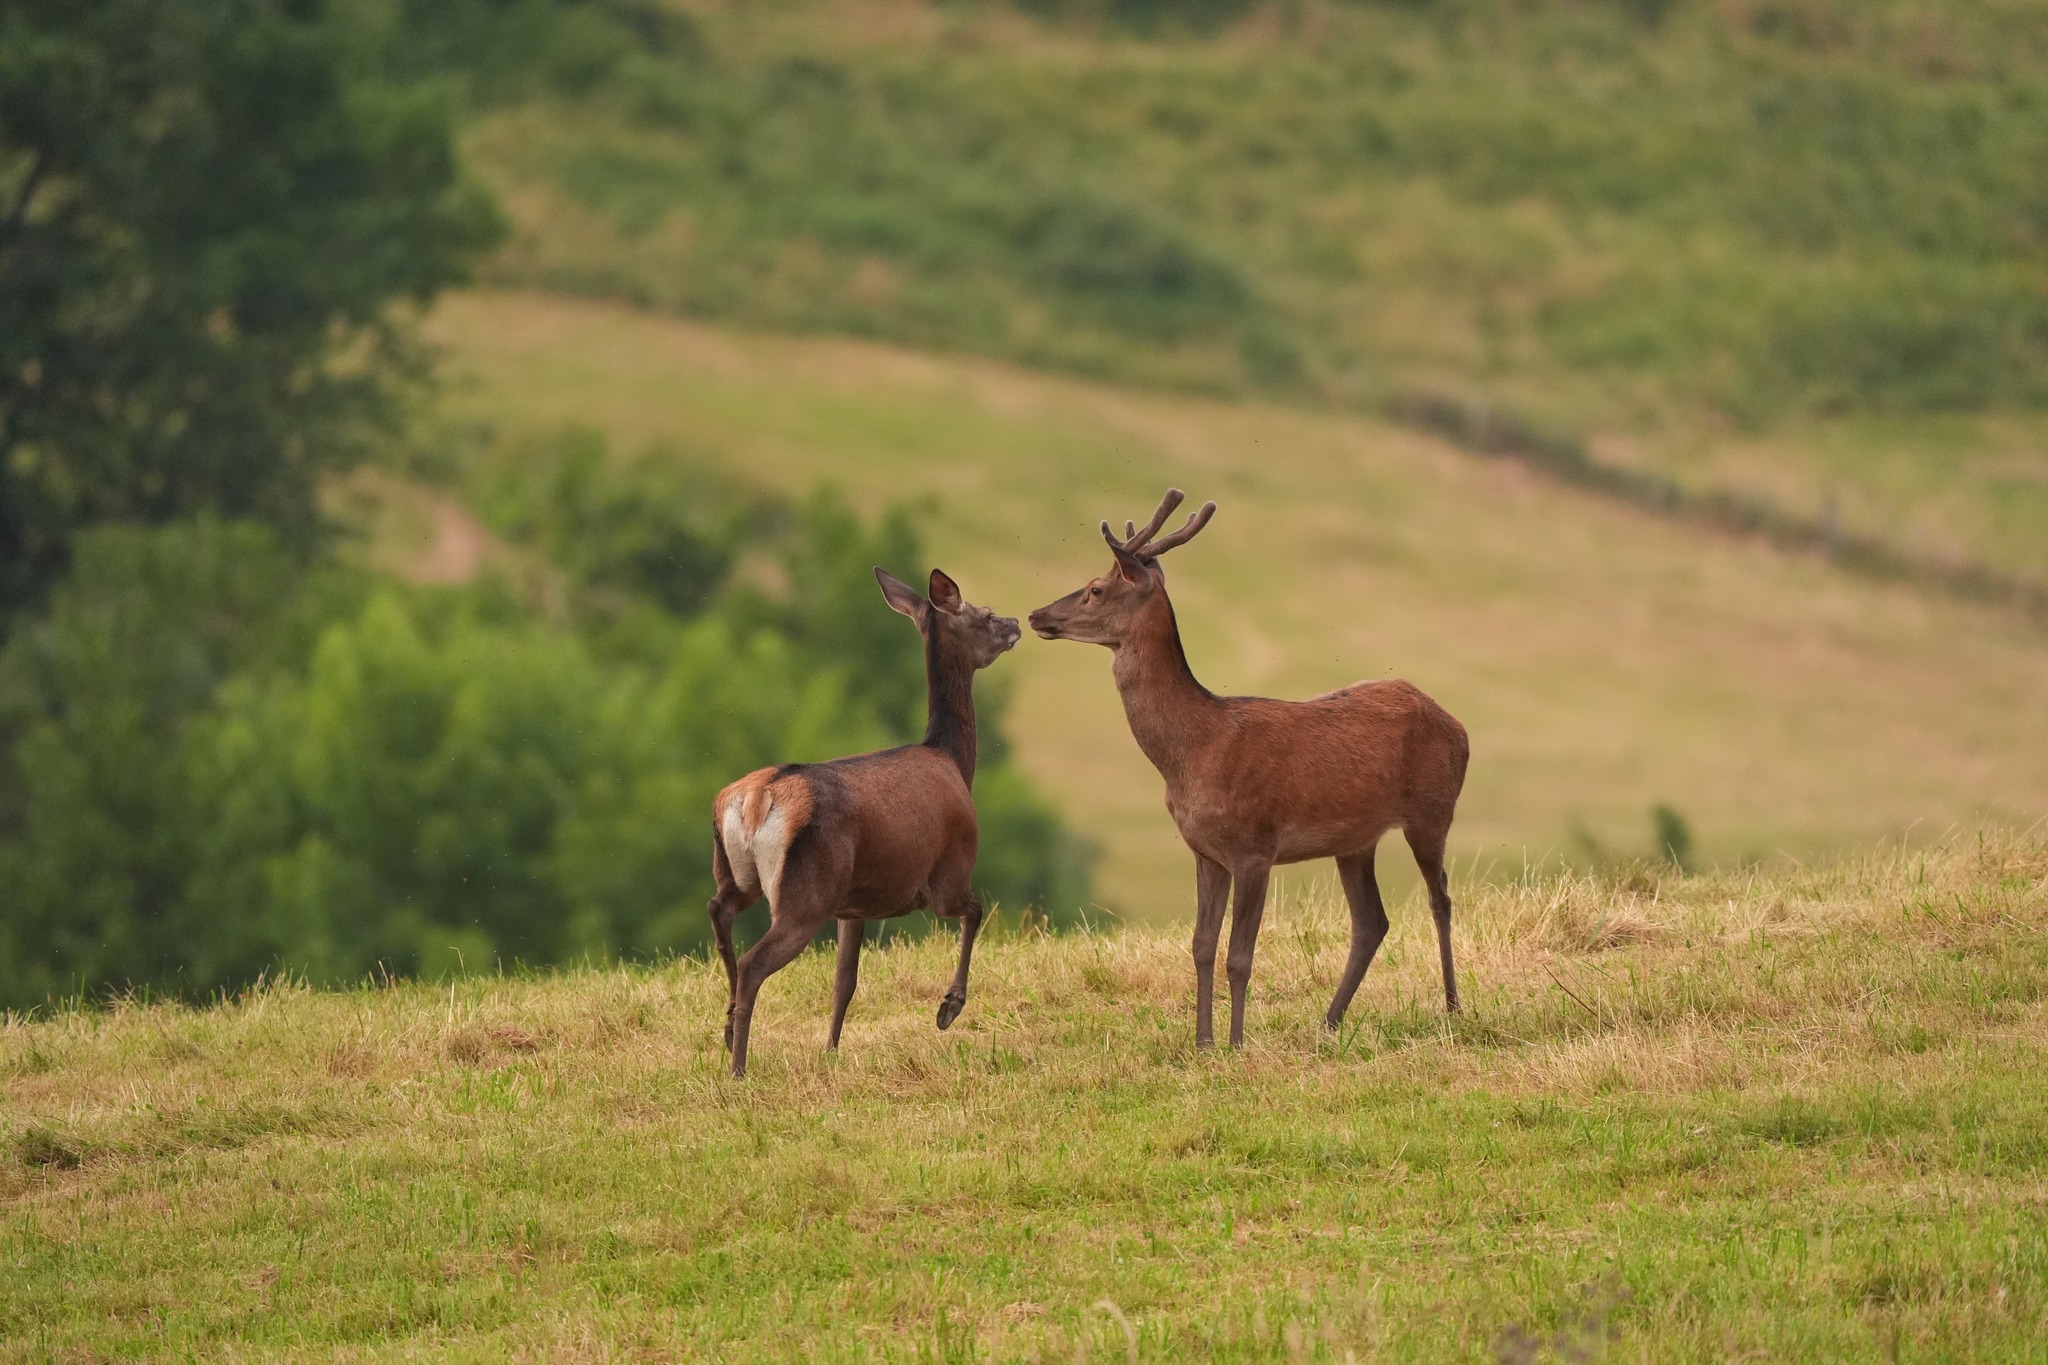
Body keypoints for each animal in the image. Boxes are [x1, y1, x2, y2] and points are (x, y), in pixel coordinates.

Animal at [707, 568, 1021, 1078]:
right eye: (984, 614)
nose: (1015, 623)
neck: (954, 761)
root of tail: (756, 798)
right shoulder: (948, 872)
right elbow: (976, 911)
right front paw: (949, 1007)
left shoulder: (853, 906)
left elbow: (844, 982)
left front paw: (831, 1051)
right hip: (806, 893)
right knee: (755, 960)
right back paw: (738, 1067)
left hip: (742, 872)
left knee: (720, 912)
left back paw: (729, 1027)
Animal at [1028, 490, 1469, 1049]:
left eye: (1095, 588)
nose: (1036, 614)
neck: (1194, 753)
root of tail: (1456, 724)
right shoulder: (1205, 851)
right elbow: (1200, 946)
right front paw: (1202, 1043)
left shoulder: (1257, 845)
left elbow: (1239, 955)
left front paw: (1236, 1043)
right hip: (1355, 840)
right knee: (1372, 921)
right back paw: (1327, 1024)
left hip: (1433, 809)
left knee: (1441, 899)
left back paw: (1453, 1008)